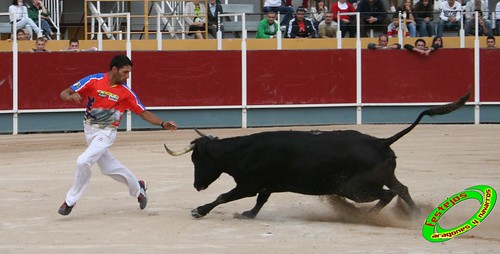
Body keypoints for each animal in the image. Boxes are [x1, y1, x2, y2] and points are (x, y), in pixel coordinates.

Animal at [164, 92, 468, 219]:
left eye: (197, 159)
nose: (196, 185)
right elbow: (261, 201)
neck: (243, 151)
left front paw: (199, 210)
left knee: (387, 194)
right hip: (382, 176)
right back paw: (415, 214)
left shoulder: (249, 184)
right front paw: (248, 214)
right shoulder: (266, 185)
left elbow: (223, 196)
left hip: (354, 187)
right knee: (401, 188)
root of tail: (381, 142)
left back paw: (365, 215)